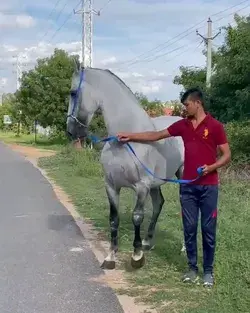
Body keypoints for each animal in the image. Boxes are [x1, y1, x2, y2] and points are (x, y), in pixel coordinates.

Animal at [67, 61, 185, 268]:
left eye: (73, 93)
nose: (70, 131)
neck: (125, 140)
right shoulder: (111, 186)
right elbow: (114, 218)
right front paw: (111, 256)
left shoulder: (142, 187)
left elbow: (137, 216)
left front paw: (136, 255)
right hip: (155, 184)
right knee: (158, 204)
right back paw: (147, 241)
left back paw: (183, 248)